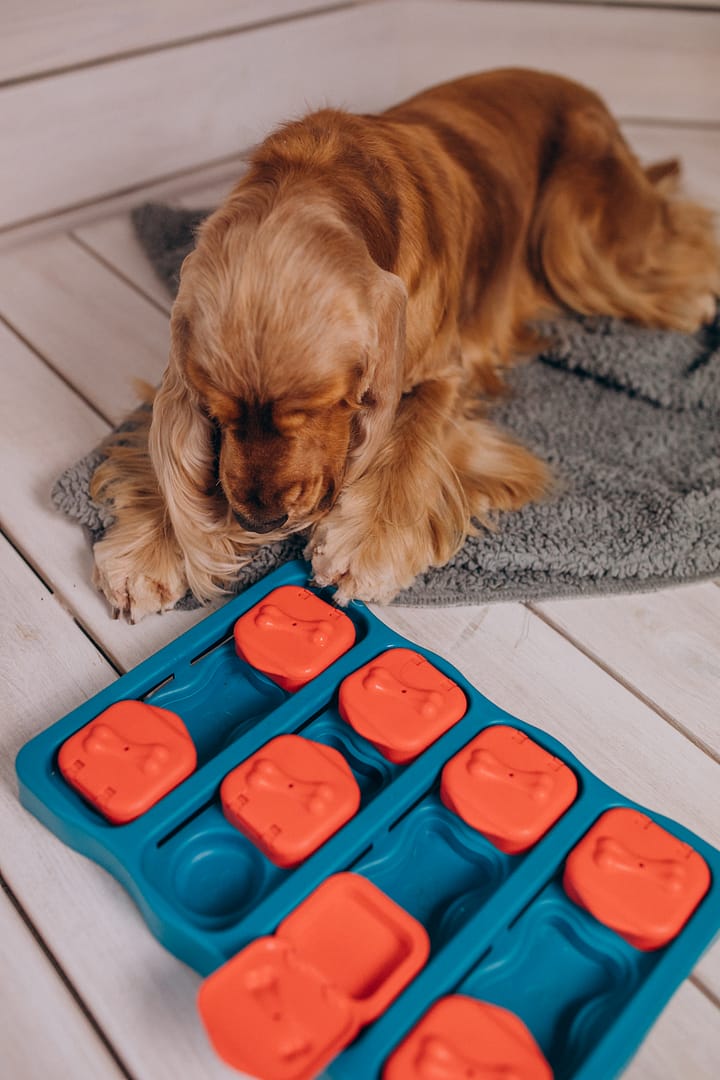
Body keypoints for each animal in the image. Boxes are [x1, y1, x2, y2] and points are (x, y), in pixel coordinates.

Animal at [91, 67, 720, 622]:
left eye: (317, 409)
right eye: (217, 414)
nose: (261, 522)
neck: (330, 178)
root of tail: (590, 96)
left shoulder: (444, 366)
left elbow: (413, 433)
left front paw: (366, 542)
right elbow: (168, 448)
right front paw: (152, 548)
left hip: (575, 232)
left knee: (679, 237)